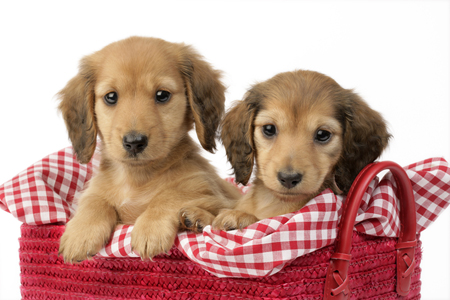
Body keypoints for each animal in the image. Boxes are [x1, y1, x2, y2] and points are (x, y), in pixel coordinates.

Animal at [59, 35, 244, 262]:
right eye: (111, 97)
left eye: (162, 95)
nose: (134, 142)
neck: (137, 179)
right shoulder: (95, 191)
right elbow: (94, 201)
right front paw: (81, 233)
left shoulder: (218, 195)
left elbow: (170, 195)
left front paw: (150, 229)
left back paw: (195, 218)